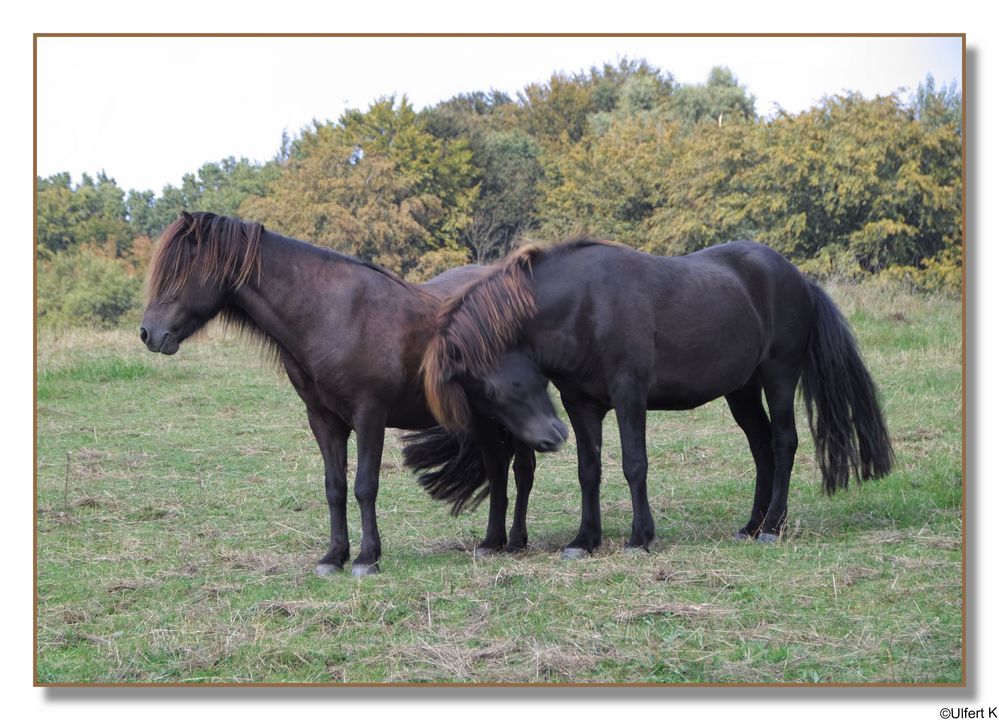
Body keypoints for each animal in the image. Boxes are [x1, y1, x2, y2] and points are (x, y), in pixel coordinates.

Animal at [139, 211, 572, 576]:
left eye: (181, 271)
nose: (148, 333)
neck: (330, 314)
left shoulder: (369, 416)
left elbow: (365, 485)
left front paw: (367, 558)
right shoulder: (323, 420)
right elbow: (335, 488)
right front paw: (334, 557)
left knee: (522, 471)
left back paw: (514, 542)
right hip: (483, 415)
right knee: (498, 470)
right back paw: (492, 542)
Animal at [410, 239, 896, 556]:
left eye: (496, 388)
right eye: (480, 395)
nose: (549, 437)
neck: (583, 304)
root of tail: (799, 278)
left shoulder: (629, 394)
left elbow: (633, 463)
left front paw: (640, 537)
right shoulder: (581, 405)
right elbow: (589, 470)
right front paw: (585, 540)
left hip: (778, 376)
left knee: (783, 442)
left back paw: (773, 526)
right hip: (741, 390)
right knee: (761, 447)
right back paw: (751, 525)